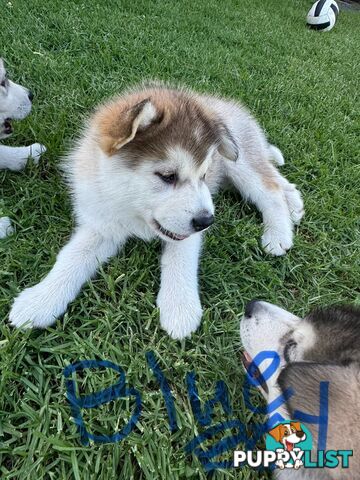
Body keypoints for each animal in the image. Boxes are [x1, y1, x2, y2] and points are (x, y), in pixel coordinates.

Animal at [9, 82, 304, 338]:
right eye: (167, 176)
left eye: (204, 175)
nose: (207, 221)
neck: (132, 210)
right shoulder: (102, 221)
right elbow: (72, 256)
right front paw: (39, 301)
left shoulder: (191, 220)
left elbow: (180, 258)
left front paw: (180, 308)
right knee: (275, 177)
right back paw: (294, 203)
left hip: (240, 163)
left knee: (270, 190)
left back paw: (278, 233)